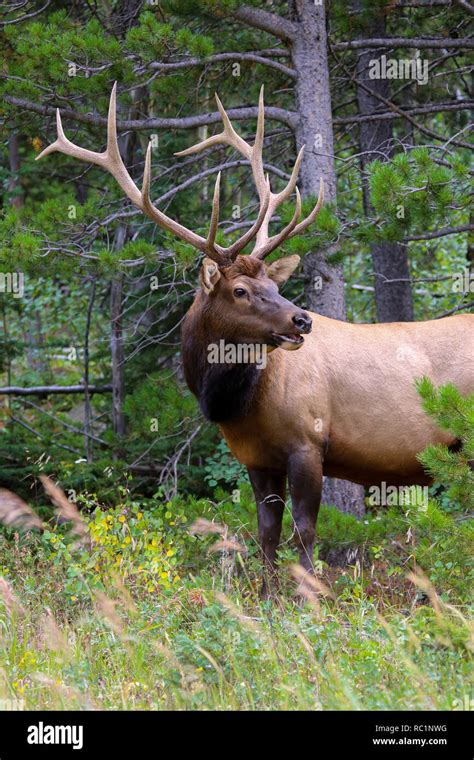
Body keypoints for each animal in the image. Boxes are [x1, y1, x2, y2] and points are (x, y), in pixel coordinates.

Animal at [38, 84, 474, 592]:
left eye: (274, 284)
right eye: (242, 290)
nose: (302, 320)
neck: (235, 402)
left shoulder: (308, 442)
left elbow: (304, 532)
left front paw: (308, 598)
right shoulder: (256, 459)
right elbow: (266, 532)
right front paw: (266, 598)